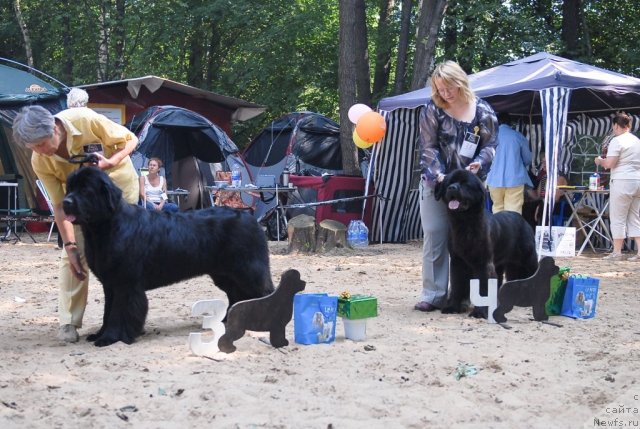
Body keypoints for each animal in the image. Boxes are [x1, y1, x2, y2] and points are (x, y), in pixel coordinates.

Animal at [63, 166, 276, 346]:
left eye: (85, 190)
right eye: (70, 188)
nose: (65, 202)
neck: (104, 228)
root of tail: (252, 220)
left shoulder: (125, 283)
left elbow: (118, 312)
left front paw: (109, 338)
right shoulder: (110, 284)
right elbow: (107, 312)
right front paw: (99, 333)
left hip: (248, 270)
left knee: (264, 292)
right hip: (225, 274)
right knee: (236, 295)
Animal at [438, 169, 536, 316]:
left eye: (465, 184)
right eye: (450, 182)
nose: (452, 188)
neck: (465, 224)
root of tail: (523, 219)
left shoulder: (483, 263)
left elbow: (484, 287)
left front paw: (480, 312)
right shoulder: (457, 261)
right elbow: (457, 284)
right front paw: (453, 307)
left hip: (528, 258)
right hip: (503, 263)